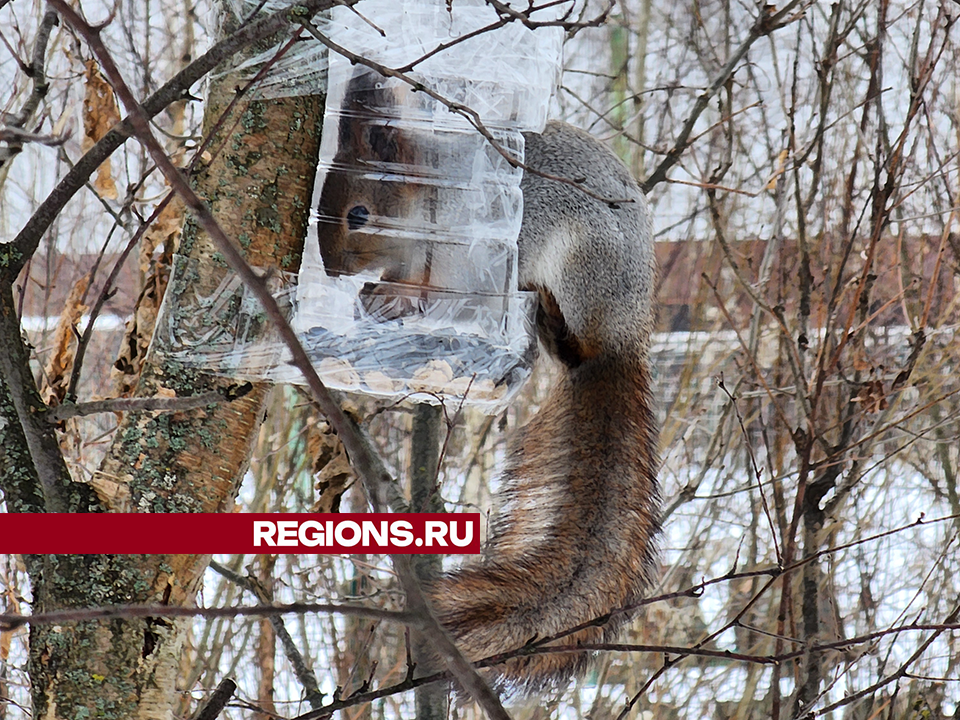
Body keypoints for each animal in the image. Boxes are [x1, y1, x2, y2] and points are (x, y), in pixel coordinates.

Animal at [316, 69, 660, 692]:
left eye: (358, 214)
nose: (330, 272)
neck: (431, 199)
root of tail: (624, 336)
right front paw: (375, 297)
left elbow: (433, 285)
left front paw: (396, 298)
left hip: (580, 264)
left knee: (571, 343)